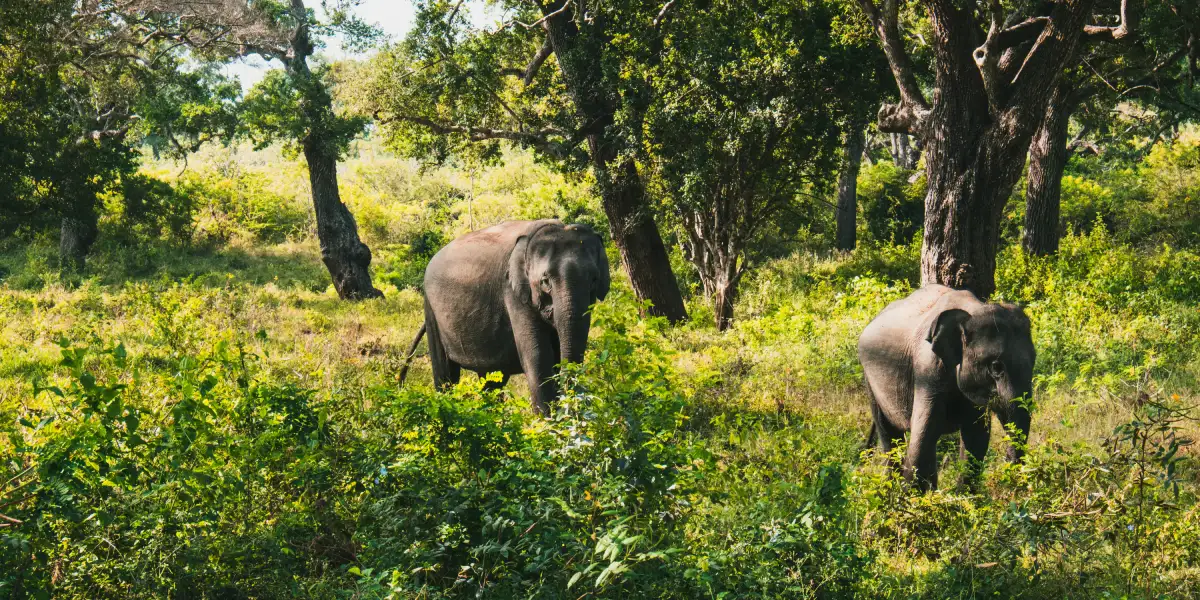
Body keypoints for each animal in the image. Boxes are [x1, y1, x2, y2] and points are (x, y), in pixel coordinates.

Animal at [399, 219, 610, 415]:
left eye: (594, 279)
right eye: (545, 281)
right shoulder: (513, 294)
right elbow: (538, 357)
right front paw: (549, 425)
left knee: (491, 380)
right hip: (431, 309)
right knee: (445, 374)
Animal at [857, 284, 1035, 490]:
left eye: (1034, 362)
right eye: (996, 367)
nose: (1007, 466)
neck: (972, 310)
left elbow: (976, 437)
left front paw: (963, 497)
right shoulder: (927, 371)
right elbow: (924, 432)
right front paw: (914, 497)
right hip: (870, 380)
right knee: (889, 434)